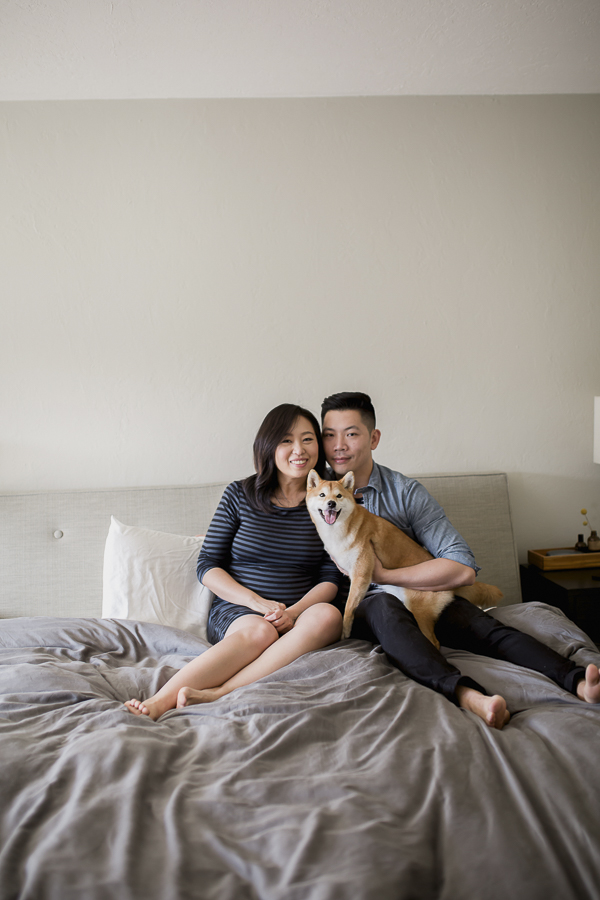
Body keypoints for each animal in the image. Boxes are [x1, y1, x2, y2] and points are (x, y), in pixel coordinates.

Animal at [306, 470, 503, 645]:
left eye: (339, 496)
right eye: (322, 495)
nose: (331, 503)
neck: (339, 530)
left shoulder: (361, 575)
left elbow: (347, 609)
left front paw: (344, 632)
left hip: (420, 610)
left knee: (434, 641)